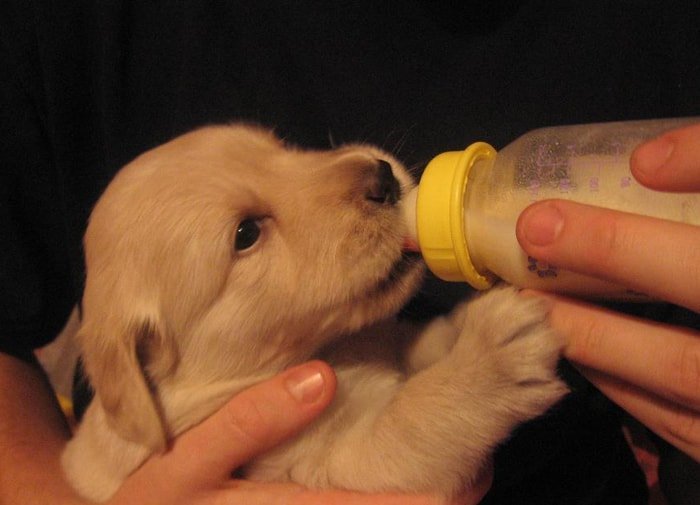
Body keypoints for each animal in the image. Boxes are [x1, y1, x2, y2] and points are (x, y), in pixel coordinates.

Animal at [61, 125, 568, 500]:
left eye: (282, 148)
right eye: (246, 233)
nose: (383, 177)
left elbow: (409, 341)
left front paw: (461, 326)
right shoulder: (324, 464)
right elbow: (412, 416)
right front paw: (487, 358)